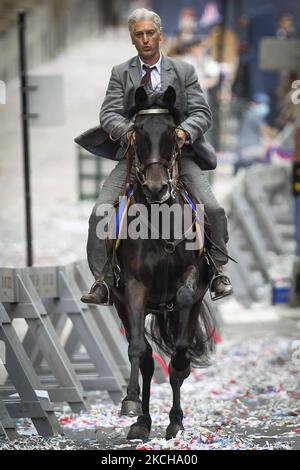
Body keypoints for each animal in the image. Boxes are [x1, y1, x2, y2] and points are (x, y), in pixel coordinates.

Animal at [109, 86, 214, 442]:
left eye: (171, 133)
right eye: (139, 134)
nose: (156, 188)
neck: (160, 220)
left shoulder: (193, 281)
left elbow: (181, 345)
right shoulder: (134, 287)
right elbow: (138, 350)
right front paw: (130, 402)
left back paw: (175, 420)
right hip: (125, 306)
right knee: (146, 361)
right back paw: (142, 421)